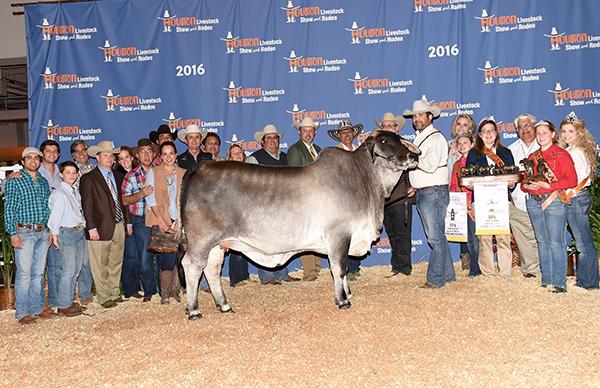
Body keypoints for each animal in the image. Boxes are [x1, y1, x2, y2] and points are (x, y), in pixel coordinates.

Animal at [180, 130, 420, 318]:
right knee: (192, 266)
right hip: (201, 240)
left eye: (399, 139)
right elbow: (340, 267)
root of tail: (201, 167)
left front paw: (348, 292)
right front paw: (343, 300)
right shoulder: (338, 236)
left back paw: (224, 305)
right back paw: (194, 310)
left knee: (211, 269)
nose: (412, 155)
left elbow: (343, 269)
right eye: (383, 141)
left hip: (217, 245)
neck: (366, 183)